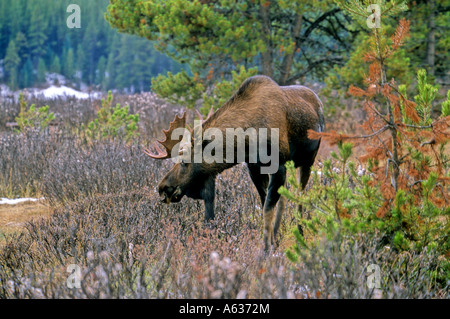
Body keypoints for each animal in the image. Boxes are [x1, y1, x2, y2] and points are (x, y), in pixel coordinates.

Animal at [146, 75, 326, 250]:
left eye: (184, 161)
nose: (162, 188)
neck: (246, 141)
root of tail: (319, 102)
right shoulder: (253, 167)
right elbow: (265, 203)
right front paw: (272, 240)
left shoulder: (279, 165)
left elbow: (268, 208)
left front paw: (266, 248)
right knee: (284, 197)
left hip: (308, 159)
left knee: (300, 195)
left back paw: (300, 234)